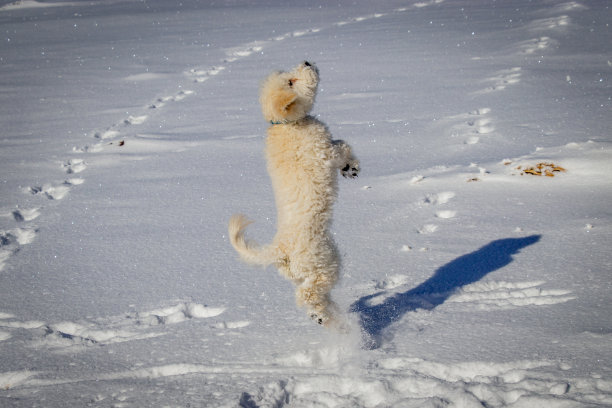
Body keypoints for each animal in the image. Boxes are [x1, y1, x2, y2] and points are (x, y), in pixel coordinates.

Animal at [228, 60, 358, 328]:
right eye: (291, 82)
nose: (306, 62)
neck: (286, 124)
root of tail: (279, 249)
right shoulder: (323, 152)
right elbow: (341, 146)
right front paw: (351, 166)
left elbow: (340, 142)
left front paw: (349, 168)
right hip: (325, 263)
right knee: (307, 294)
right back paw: (322, 316)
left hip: (300, 272)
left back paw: (328, 317)